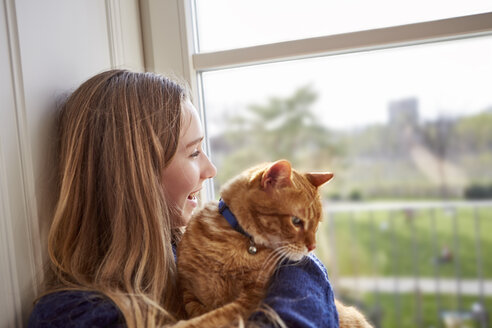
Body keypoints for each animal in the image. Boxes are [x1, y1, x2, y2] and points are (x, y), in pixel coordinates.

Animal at [177, 160, 372, 326]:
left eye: (316, 225)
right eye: (296, 221)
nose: (312, 247)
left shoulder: (253, 299)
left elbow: (213, 317)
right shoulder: (188, 293)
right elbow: (198, 312)